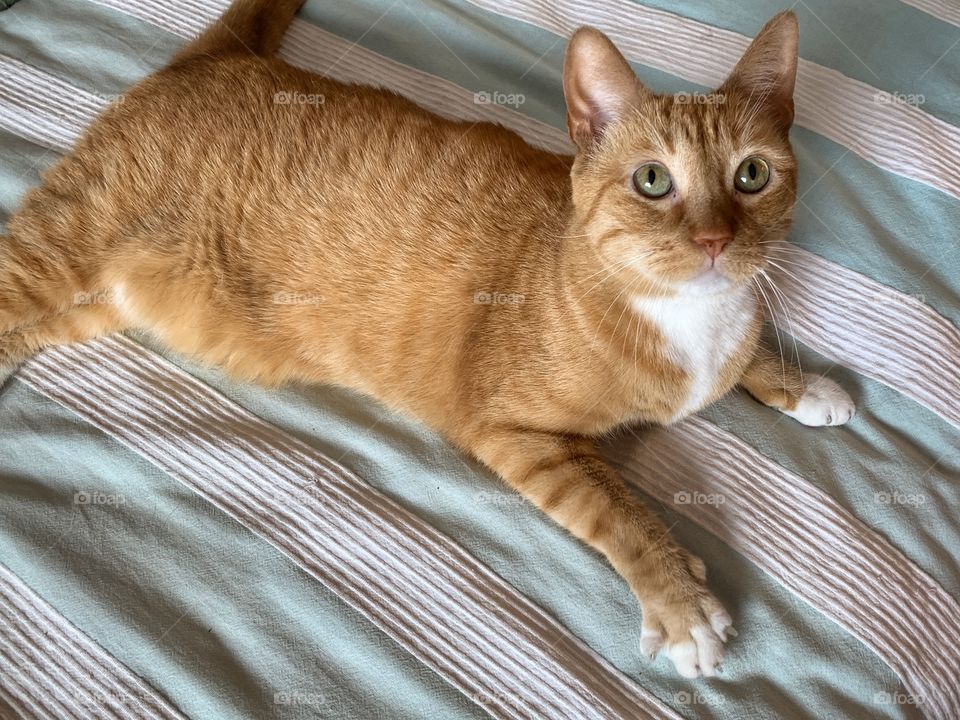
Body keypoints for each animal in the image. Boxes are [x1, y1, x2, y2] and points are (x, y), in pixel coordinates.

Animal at [0, 0, 856, 676]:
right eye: (653, 181)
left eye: (751, 175)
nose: (714, 241)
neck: (685, 317)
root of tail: (221, 58)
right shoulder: (518, 434)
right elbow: (624, 511)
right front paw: (681, 600)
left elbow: (750, 351)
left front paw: (798, 383)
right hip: (55, 254)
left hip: (95, 302)